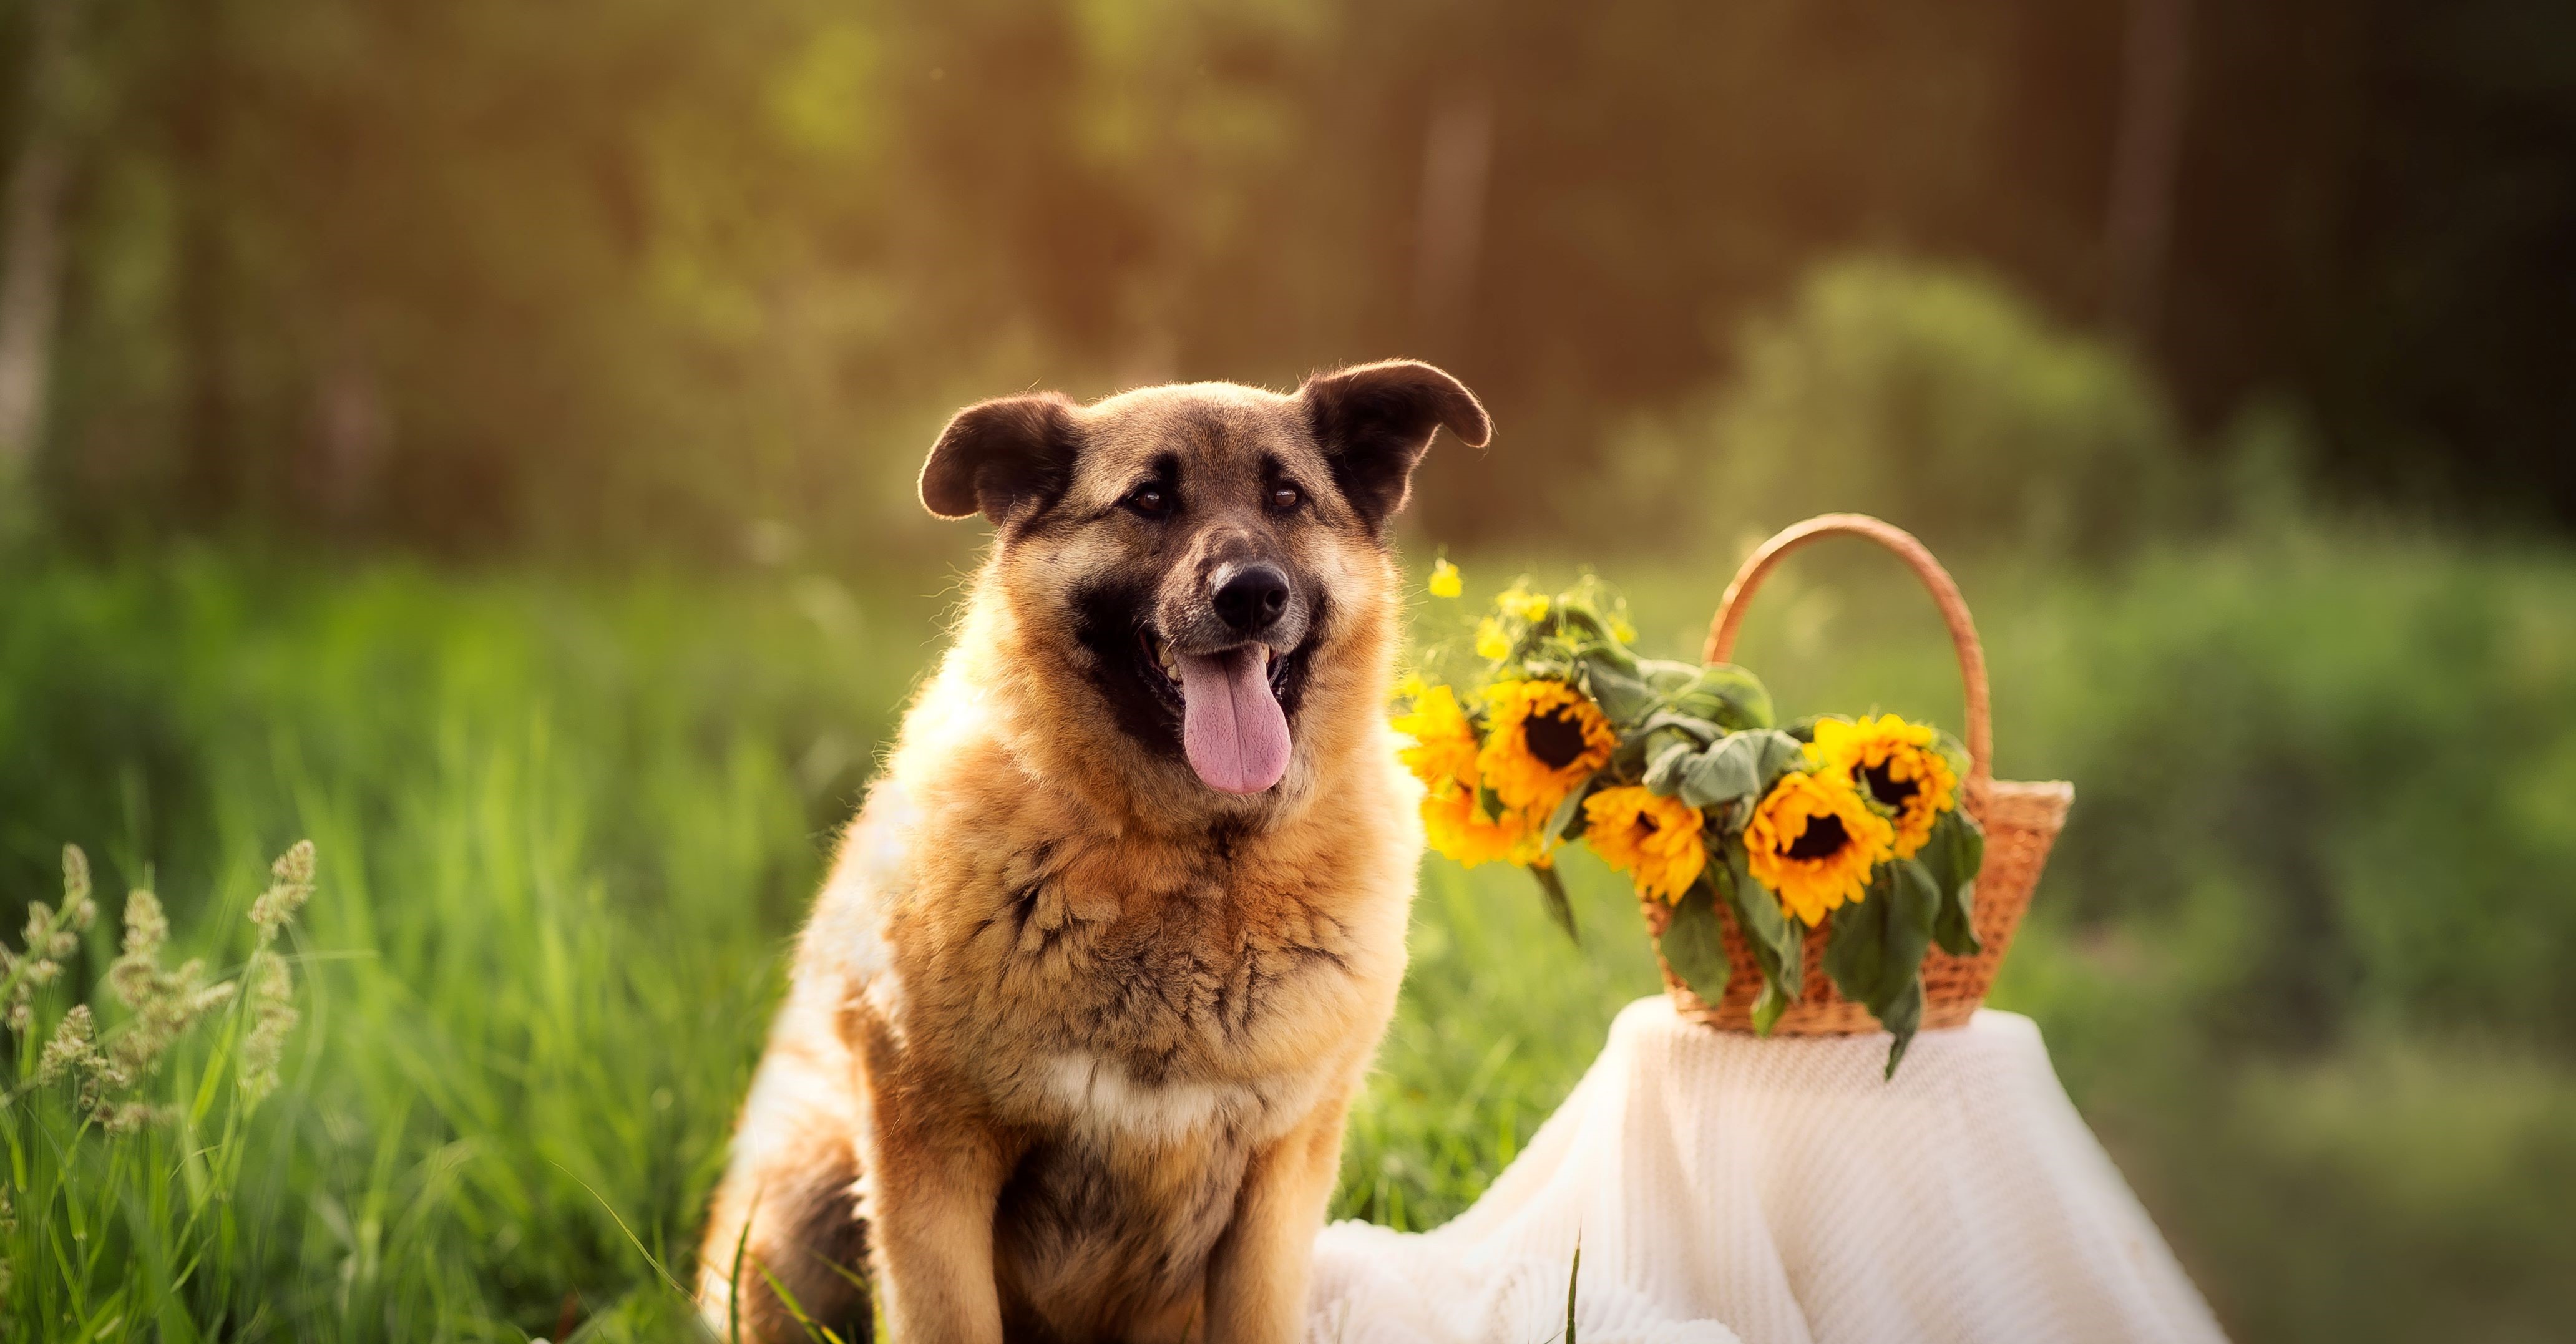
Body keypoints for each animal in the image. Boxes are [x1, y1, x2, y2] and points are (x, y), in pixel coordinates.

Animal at [695, 358, 1494, 1338]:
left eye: (1287, 497)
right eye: (1148, 499)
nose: (1254, 593)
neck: (1191, 859)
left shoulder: (1275, 1192)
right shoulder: (932, 1168)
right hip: (802, 1189)